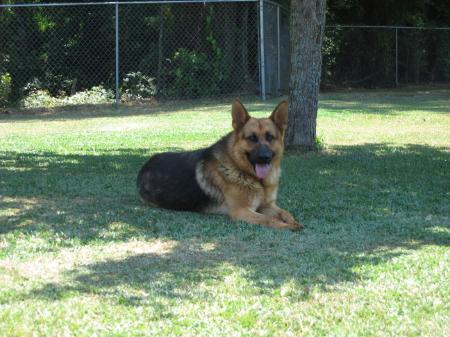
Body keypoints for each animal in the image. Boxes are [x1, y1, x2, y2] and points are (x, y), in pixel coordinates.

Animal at [137, 100, 304, 230]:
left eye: (270, 137)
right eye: (252, 138)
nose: (264, 158)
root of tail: (146, 165)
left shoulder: (267, 205)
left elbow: (285, 212)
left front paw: (292, 221)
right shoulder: (242, 211)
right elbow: (269, 219)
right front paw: (286, 226)